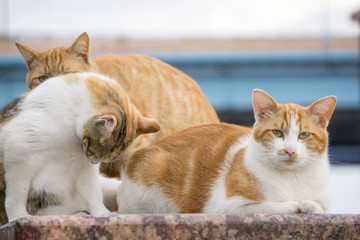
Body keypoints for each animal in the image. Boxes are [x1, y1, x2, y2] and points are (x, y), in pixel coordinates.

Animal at [0, 72, 160, 222]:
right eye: (93, 152)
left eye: (100, 157)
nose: (94, 161)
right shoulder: (19, 148)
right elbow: (18, 190)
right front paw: (18, 216)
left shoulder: (84, 168)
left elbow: (92, 192)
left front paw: (102, 213)